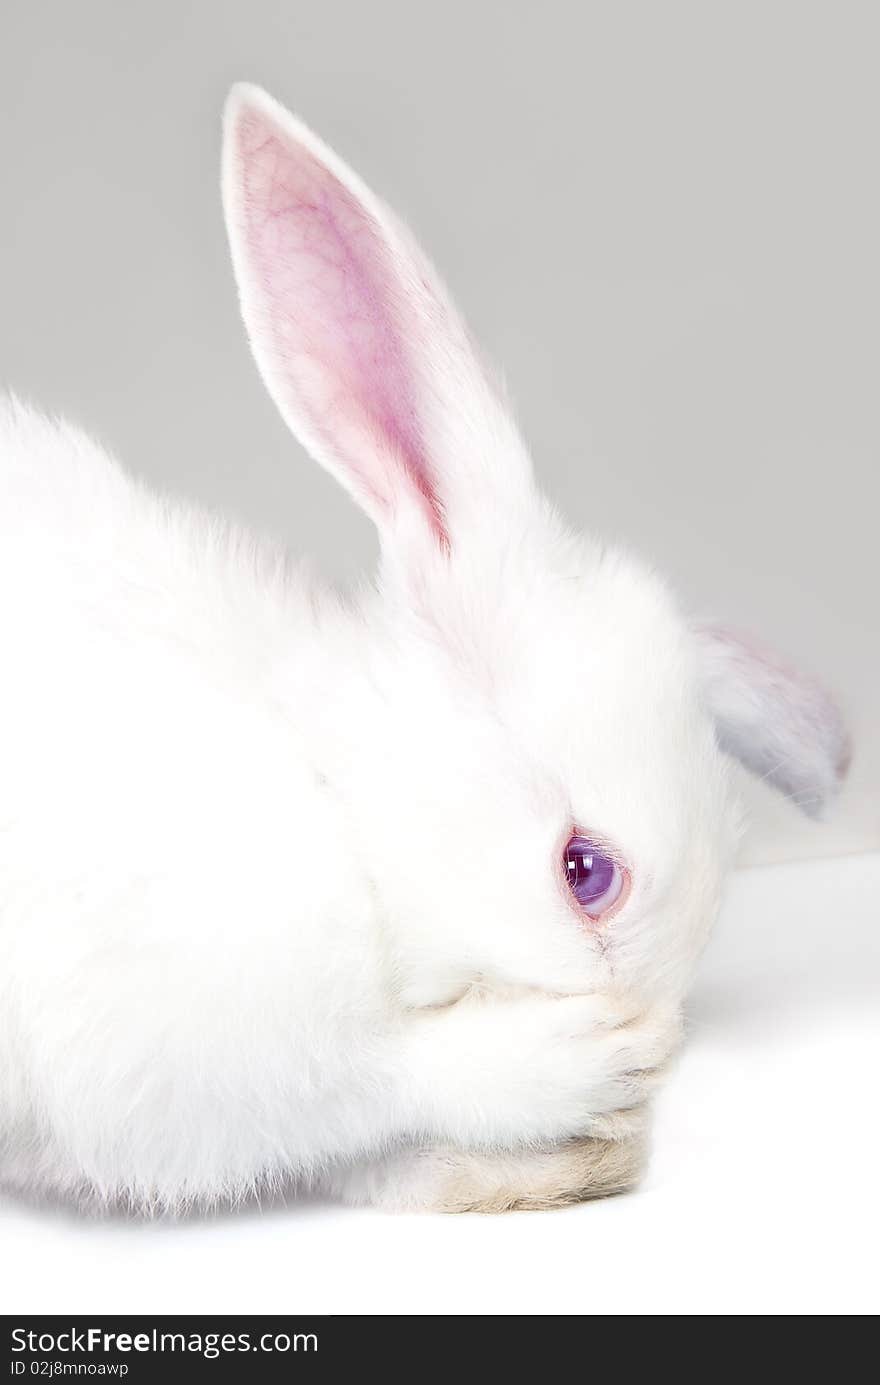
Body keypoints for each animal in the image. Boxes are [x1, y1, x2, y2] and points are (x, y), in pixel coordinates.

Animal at [0, 86, 848, 1213]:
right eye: (586, 871)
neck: (341, 795)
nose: (656, 1036)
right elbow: (377, 1072)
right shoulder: (180, 1031)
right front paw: (582, 1061)